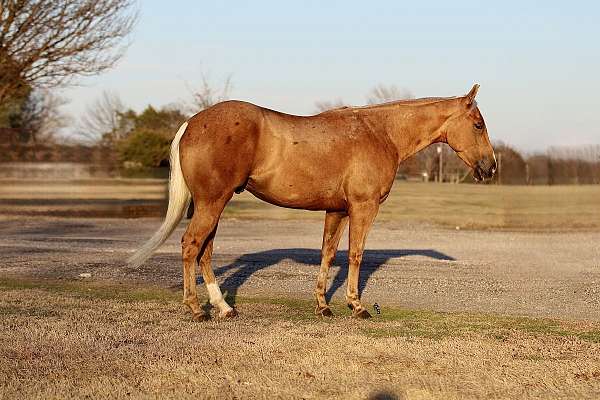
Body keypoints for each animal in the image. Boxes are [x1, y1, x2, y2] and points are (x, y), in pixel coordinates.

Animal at [127, 83, 496, 318]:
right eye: (478, 125)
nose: (490, 167)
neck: (380, 133)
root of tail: (192, 122)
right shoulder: (363, 208)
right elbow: (356, 255)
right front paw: (357, 306)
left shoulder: (337, 210)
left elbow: (328, 253)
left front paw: (323, 305)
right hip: (211, 203)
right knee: (191, 246)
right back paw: (196, 309)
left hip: (210, 205)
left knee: (204, 251)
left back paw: (223, 308)